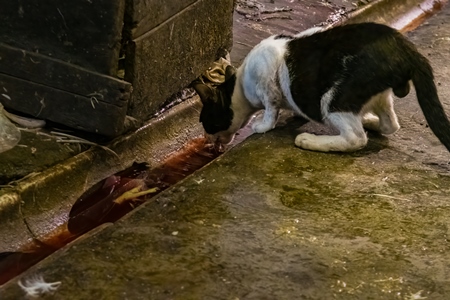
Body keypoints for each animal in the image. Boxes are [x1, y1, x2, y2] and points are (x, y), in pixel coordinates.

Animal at [192, 22, 450, 152]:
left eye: (206, 121)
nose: (205, 139)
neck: (238, 87)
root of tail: (404, 47)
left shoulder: (267, 86)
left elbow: (270, 110)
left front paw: (262, 126)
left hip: (332, 100)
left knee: (355, 139)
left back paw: (310, 141)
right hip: (380, 96)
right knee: (390, 124)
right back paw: (369, 121)